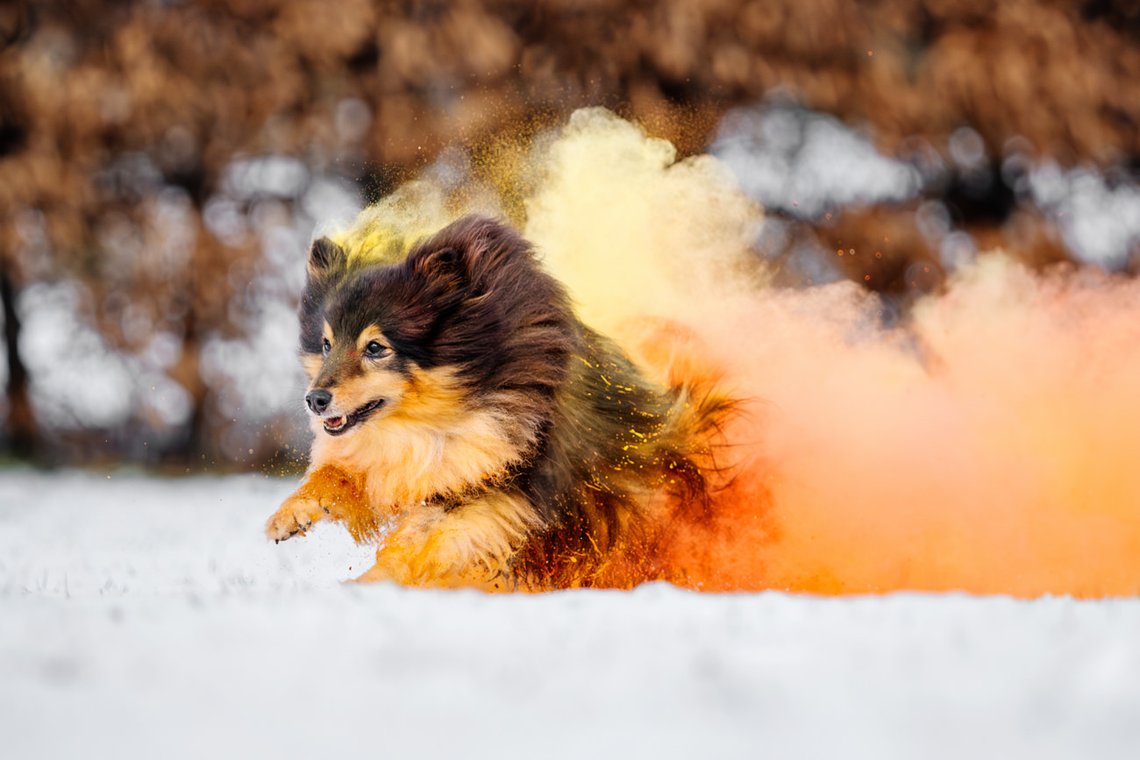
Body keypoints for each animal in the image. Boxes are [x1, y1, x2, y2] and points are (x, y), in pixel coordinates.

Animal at [265, 216, 729, 592]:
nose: (315, 399)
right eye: (326, 344)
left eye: (376, 347)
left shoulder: (501, 488)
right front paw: (290, 516)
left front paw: (369, 581)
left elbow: (420, 542)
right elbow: (338, 476)